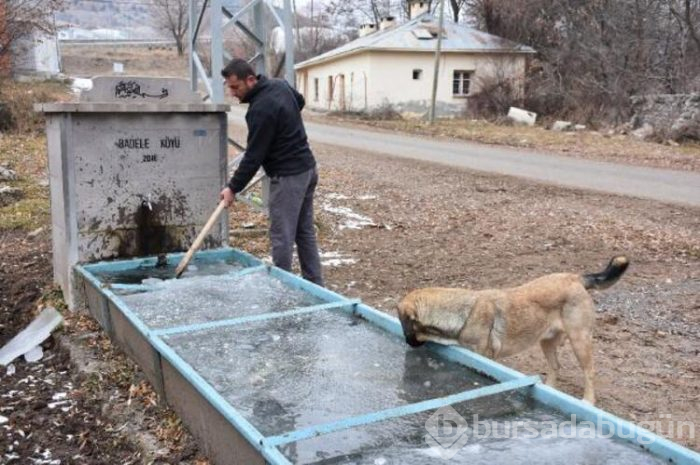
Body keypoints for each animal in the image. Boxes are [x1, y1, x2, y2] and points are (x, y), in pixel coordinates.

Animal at [396, 256, 632, 404]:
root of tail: (575, 277)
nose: (407, 343)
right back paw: (549, 389)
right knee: (555, 366)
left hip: (579, 340)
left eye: (405, 326)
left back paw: (588, 401)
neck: (462, 313)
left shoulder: (485, 357)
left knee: (589, 372)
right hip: (547, 341)